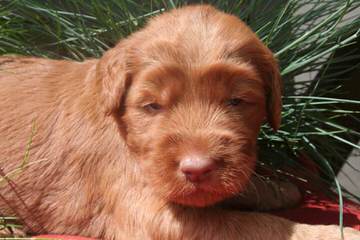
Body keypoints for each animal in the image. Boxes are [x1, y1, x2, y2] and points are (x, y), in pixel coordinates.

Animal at [0, 4, 358, 240]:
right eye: (152, 106)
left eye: (236, 101)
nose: (197, 169)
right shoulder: (152, 216)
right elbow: (252, 225)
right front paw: (334, 233)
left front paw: (276, 189)